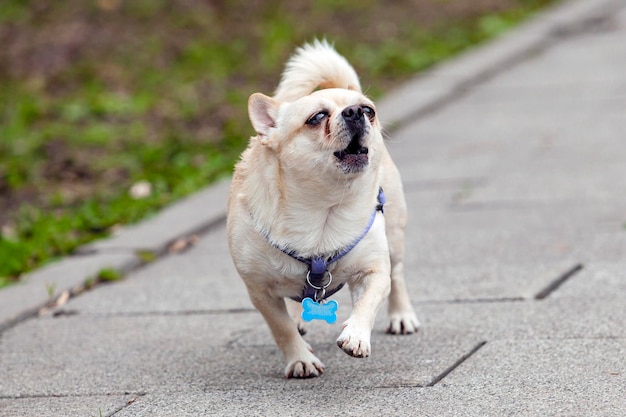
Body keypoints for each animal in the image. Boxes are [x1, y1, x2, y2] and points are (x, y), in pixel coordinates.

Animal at [227, 39, 416, 376]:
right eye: (316, 118)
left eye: (369, 111)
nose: (356, 112)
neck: (324, 209)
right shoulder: (260, 292)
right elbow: (281, 328)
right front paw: (300, 358)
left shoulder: (373, 271)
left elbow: (368, 303)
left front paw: (356, 336)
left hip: (394, 235)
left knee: (398, 275)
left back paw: (401, 316)